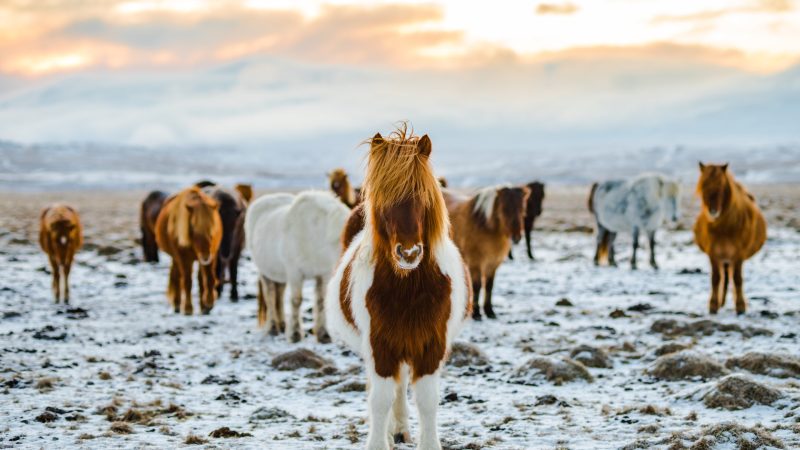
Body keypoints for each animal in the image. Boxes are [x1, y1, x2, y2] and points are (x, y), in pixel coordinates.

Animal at [155, 186, 222, 315]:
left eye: (212, 231)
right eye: (193, 230)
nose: (205, 257)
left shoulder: (212, 254)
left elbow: (209, 278)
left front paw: (208, 303)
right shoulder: (183, 258)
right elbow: (187, 282)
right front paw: (188, 308)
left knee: (200, 279)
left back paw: (202, 306)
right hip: (176, 257)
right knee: (176, 276)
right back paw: (177, 304)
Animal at [246, 190, 349, 342]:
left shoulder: (324, 273)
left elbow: (321, 301)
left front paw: (323, 334)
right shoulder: (295, 273)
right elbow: (296, 301)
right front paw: (295, 334)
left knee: (279, 294)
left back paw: (282, 325)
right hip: (265, 272)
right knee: (270, 295)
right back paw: (272, 328)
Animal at [326, 125, 471, 449]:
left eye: (423, 195)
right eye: (383, 200)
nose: (409, 253)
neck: (408, 289)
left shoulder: (430, 345)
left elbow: (427, 400)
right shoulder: (380, 345)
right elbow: (379, 400)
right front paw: (379, 442)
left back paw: (401, 430)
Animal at [444, 185, 529, 320]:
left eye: (523, 208)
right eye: (504, 209)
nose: (516, 237)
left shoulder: (493, 264)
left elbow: (489, 286)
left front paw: (490, 311)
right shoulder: (476, 263)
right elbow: (477, 286)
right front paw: (477, 313)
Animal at [693, 163, 766, 315]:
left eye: (721, 185)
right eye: (703, 185)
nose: (713, 211)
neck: (724, 229)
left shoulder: (738, 255)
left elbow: (737, 279)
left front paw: (740, 307)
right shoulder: (713, 254)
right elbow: (715, 278)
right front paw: (713, 306)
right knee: (724, 276)